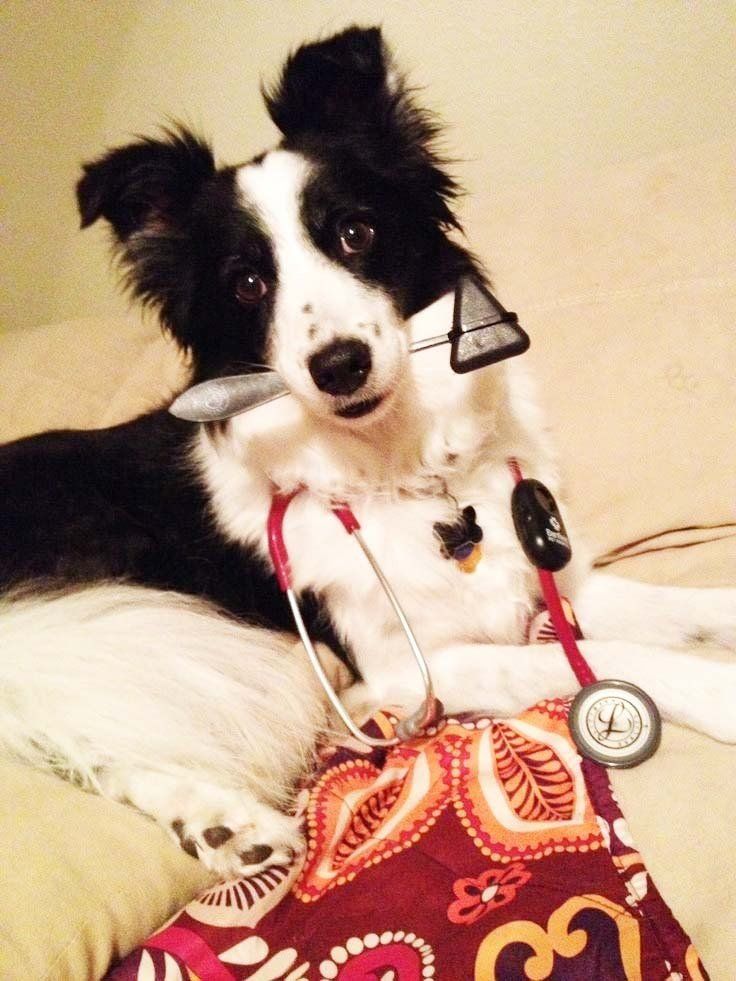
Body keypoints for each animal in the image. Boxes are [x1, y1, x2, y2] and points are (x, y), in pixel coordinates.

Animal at [1, 26, 736, 876]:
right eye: (247, 283)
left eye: (357, 233)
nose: (340, 364)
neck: (405, 467)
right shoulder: (419, 663)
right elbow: (613, 658)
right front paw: (721, 695)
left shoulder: (558, 582)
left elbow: (687, 612)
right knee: (89, 731)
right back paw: (221, 817)